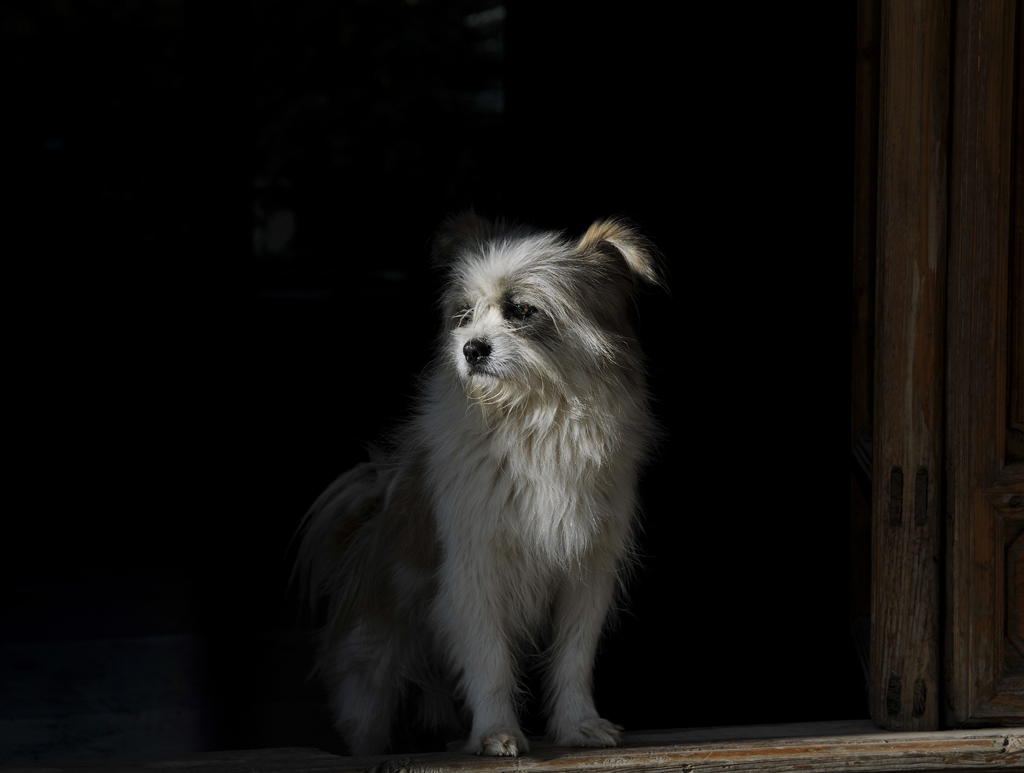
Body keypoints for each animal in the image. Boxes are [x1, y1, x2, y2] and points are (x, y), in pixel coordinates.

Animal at [292, 211, 667, 757]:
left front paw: (577, 725)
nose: (470, 349)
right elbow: (490, 661)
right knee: (366, 715)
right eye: (465, 314)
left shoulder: (588, 574)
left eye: (522, 310)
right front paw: (494, 732)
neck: (533, 419)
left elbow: (573, 659)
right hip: (373, 657)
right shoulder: (475, 573)